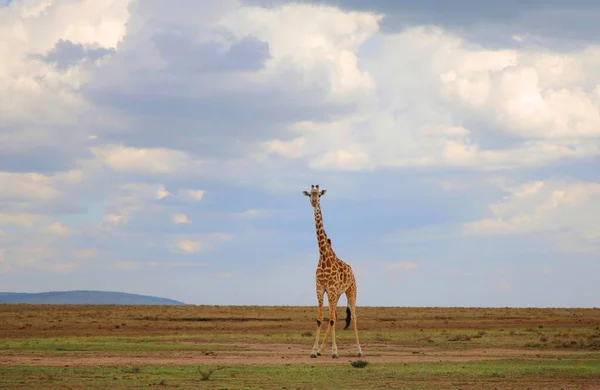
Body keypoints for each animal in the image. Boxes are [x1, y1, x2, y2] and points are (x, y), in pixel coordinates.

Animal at [302, 184, 364, 358]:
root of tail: (352, 271)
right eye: (309, 194)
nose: (313, 202)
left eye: (319, 195)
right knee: (334, 315)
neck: (323, 256)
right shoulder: (320, 288)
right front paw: (314, 351)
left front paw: (335, 352)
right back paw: (322, 350)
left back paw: (359, 350)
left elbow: (331, 319)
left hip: (351, 290)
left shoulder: (331, 288)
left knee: (354, 317)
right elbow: (321, 319)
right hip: (337, 294)